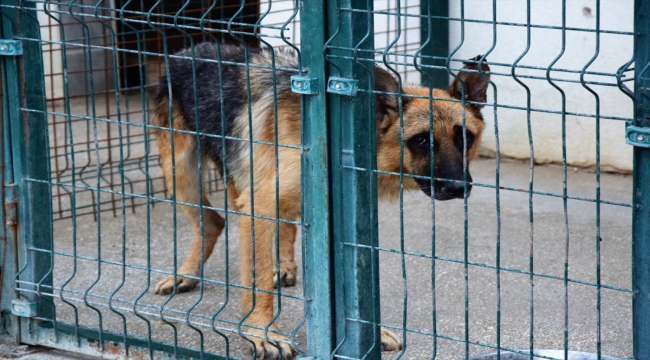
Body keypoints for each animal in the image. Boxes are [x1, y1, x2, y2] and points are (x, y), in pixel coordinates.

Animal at [151, 43, 486, 358]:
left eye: (465, 138)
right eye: (421, 140)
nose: (459, 187)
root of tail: (190, 49)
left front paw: (367, 335)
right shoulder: (258, 206)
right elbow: (258, 280)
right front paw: (262, 333)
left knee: (278, 223)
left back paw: (282, 266)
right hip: (182, 174)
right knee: (212, 221)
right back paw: (185, 275)